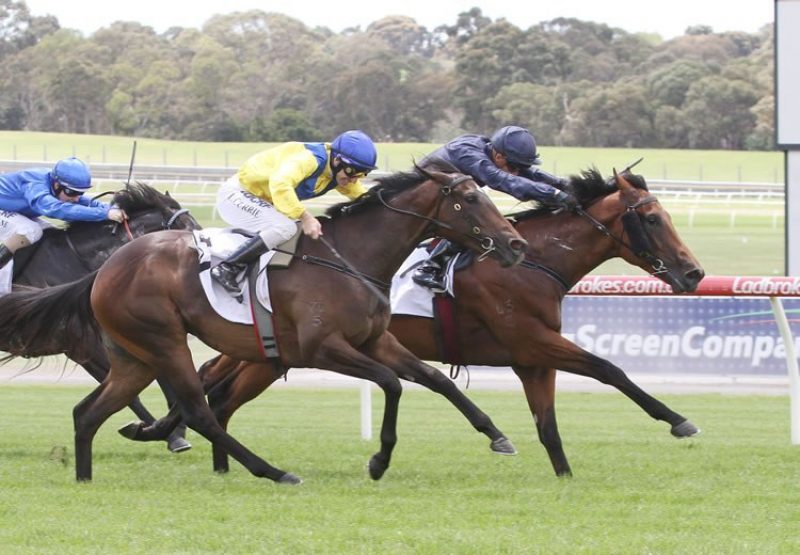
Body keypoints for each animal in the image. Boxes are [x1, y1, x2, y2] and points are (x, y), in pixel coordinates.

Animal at [153, 169, 704, 478]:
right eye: (651, 218)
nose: (694, 273)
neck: (535, 262)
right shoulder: (534, 340)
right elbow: (610, 369)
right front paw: (678, 420)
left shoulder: (530, 358)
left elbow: (549, 427)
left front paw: (563, 476)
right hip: (272, 356)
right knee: (215, 390)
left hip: (265, 355)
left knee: (219, 393)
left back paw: (207, 455)